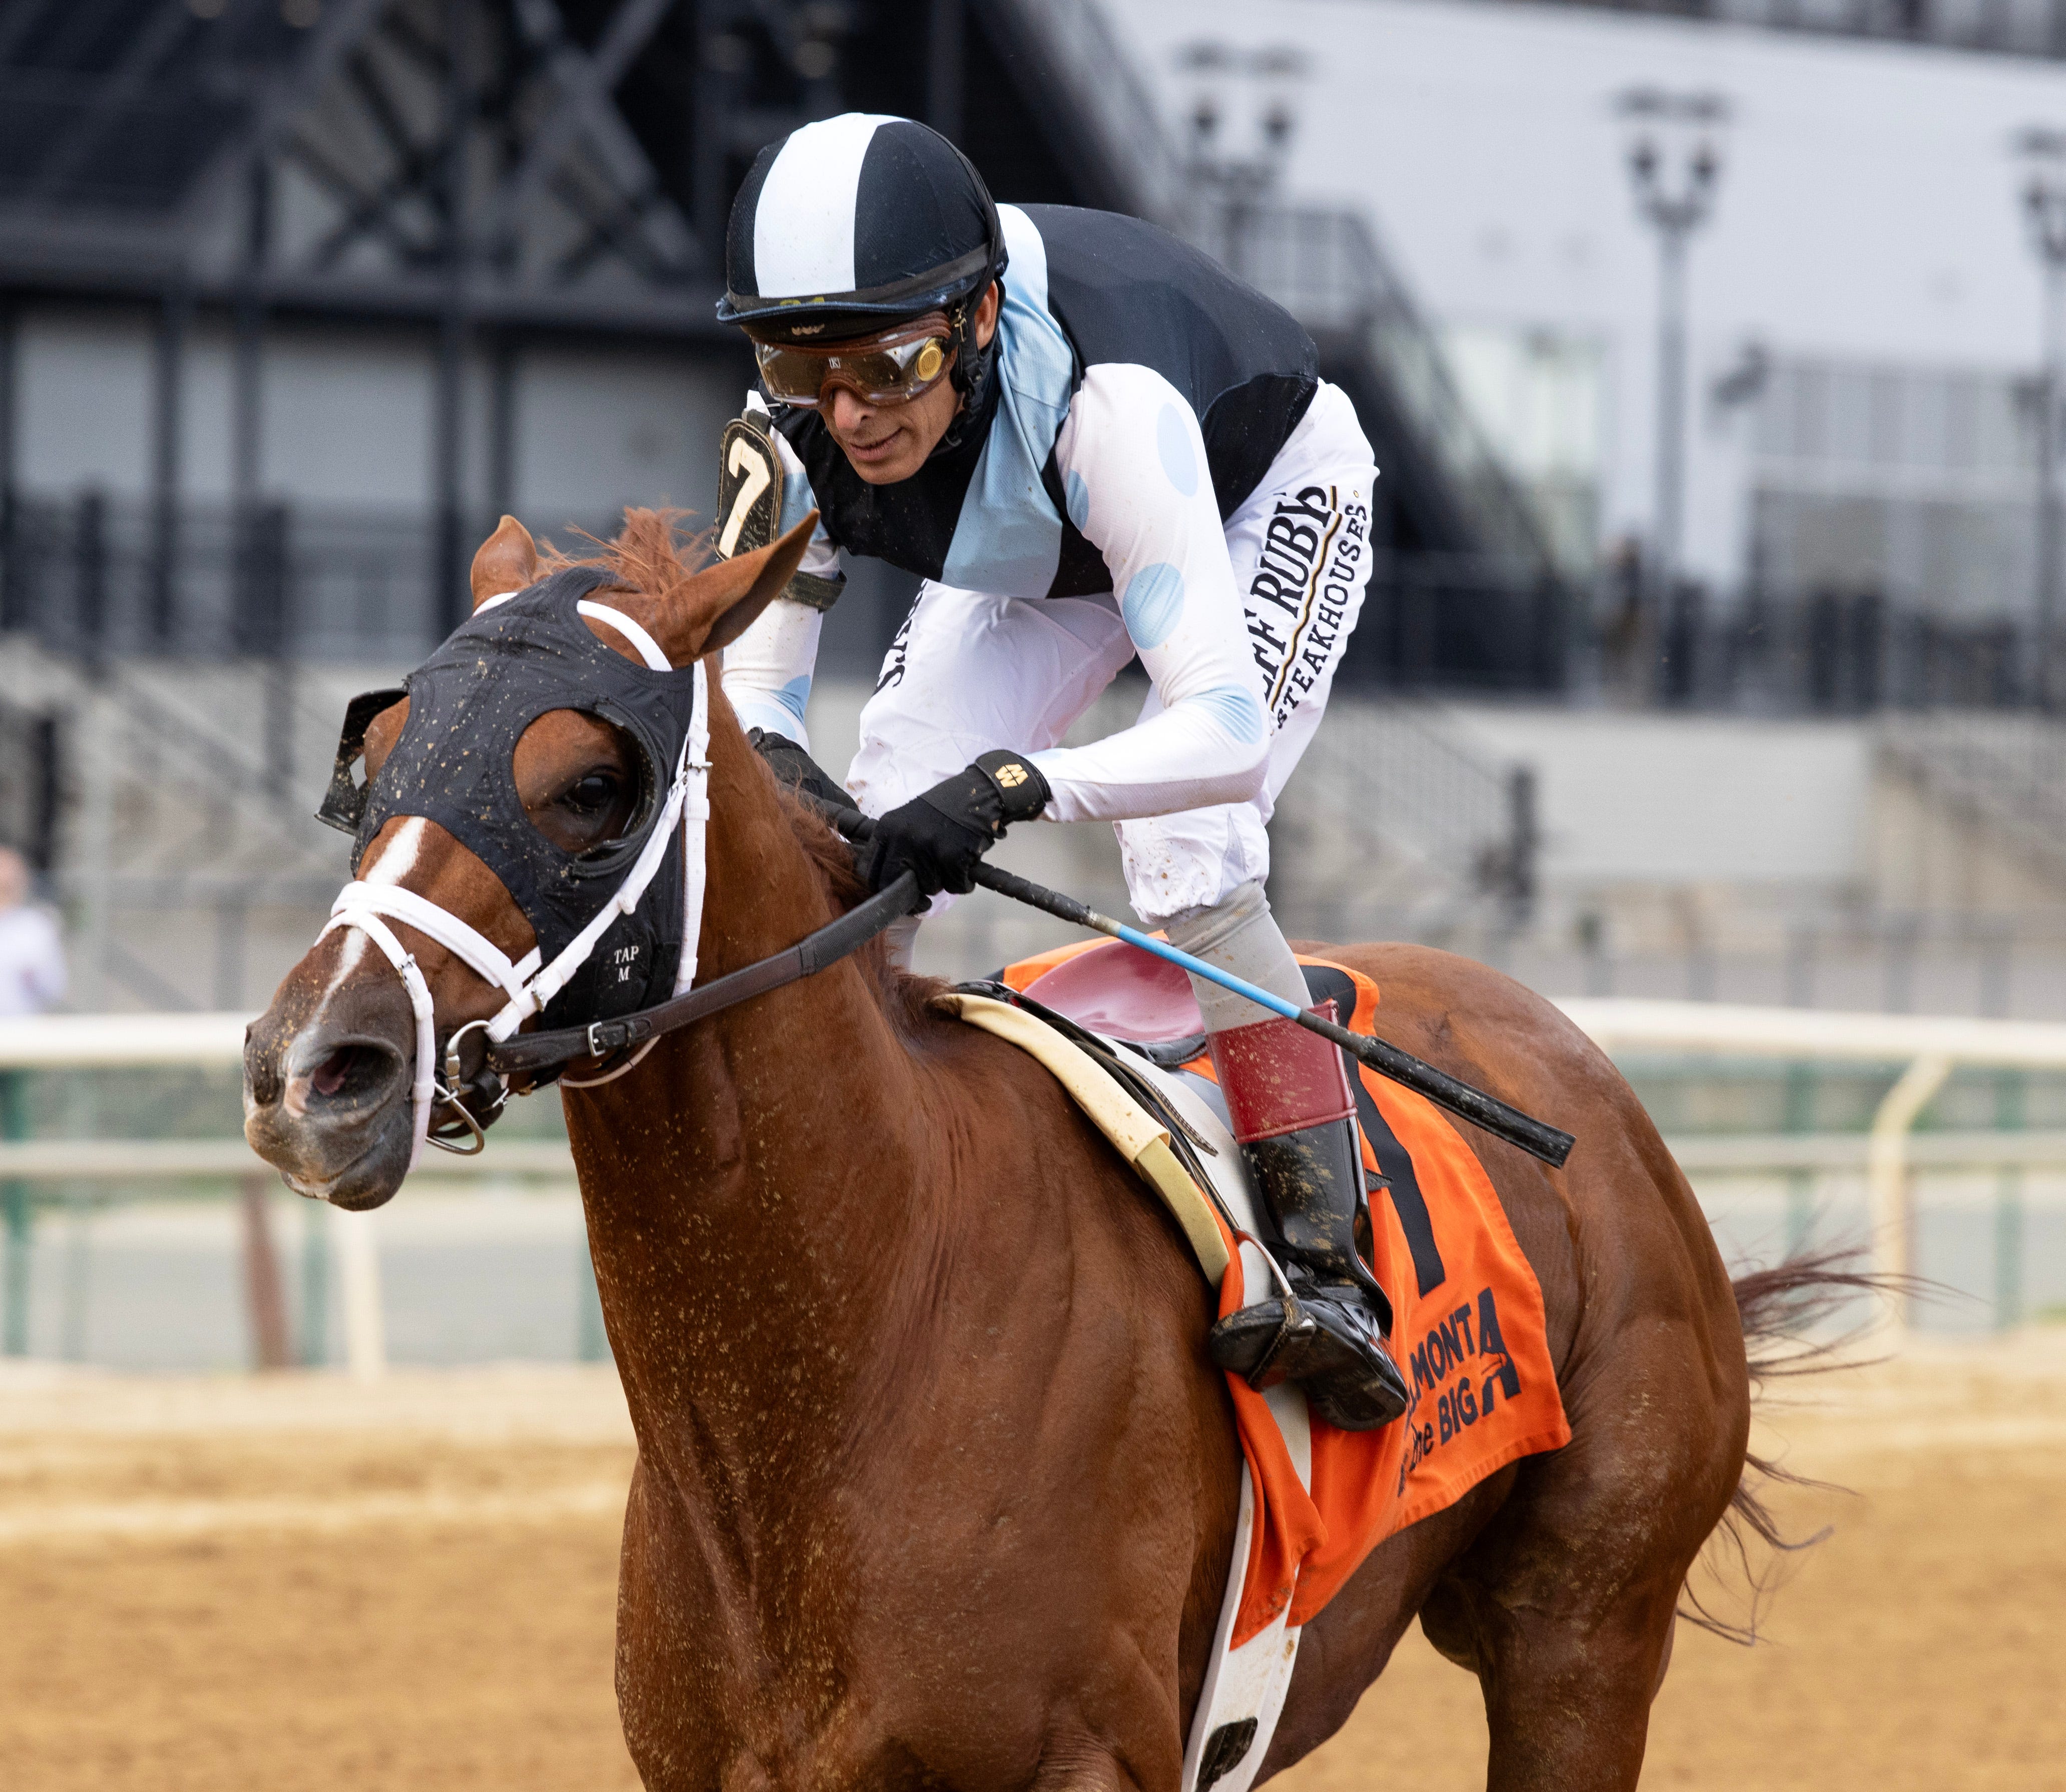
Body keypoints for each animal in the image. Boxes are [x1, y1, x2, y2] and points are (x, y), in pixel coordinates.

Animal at [243, 508, 1849, 1792]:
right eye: (374, 757)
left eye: (589, 784)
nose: (313, 1067)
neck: (868, 1337)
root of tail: (1588, 1084)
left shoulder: (1080, 1760)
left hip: (1580, 1631)